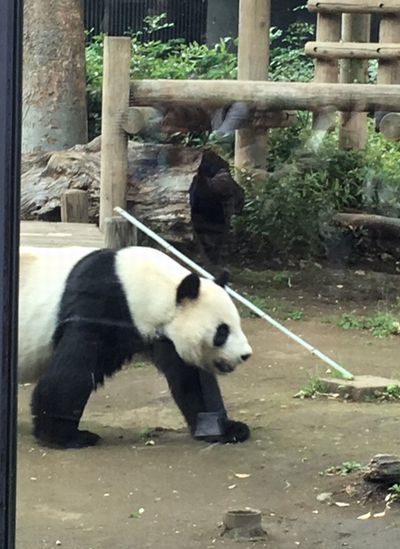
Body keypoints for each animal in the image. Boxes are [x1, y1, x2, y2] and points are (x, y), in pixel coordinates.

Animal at [19, 246, 253, 448]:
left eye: (237, 324)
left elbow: (190, 378)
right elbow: (72, 372)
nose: (245, 355)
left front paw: (226, 429)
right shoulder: (96, 306)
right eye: (222, 332)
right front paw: (65, 436)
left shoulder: (162, 335)